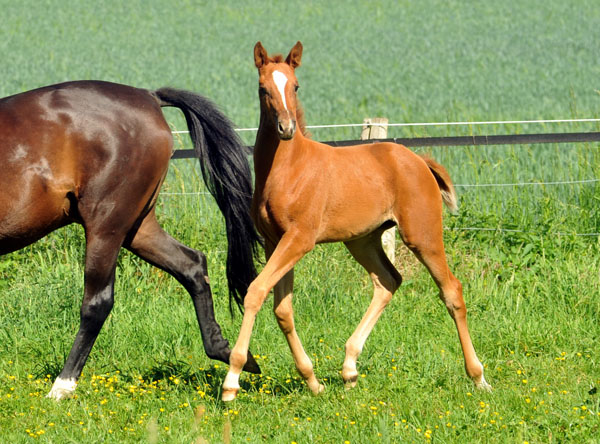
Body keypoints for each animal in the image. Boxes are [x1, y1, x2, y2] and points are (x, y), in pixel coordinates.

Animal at [0, 81, 262, 400]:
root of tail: (148, 97)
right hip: (138, 227)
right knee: (192, 265)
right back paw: (231, 354)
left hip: (107, 227)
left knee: (97, 303)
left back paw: (62, 387)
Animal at [223, 42, 490, 402]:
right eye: (263, 88)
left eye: (296, 86)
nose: (286, 128)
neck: (288, 169)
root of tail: (419, 160)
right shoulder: (274, 241)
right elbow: (283, 309)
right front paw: (312, 380)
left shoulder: (300, 239)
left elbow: (256, 292)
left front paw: (232, 380)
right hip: (362, 240)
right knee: (389, 281)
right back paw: (349, 368)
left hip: (422, 234)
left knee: (451, 290)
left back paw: (478, 377)